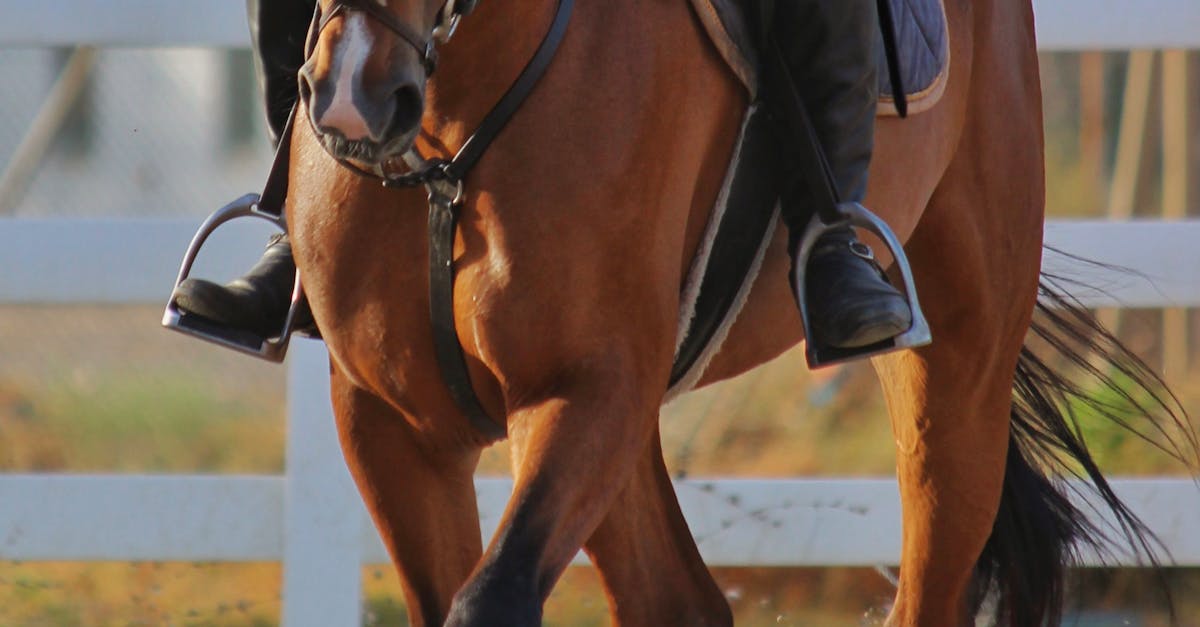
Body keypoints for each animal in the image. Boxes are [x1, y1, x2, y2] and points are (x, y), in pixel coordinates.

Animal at [280, 0, 1196, 624]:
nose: (353, 99)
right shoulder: (393, 423)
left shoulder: (582, 389)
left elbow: (491, 597)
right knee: (675, 599)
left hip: (959, 378)